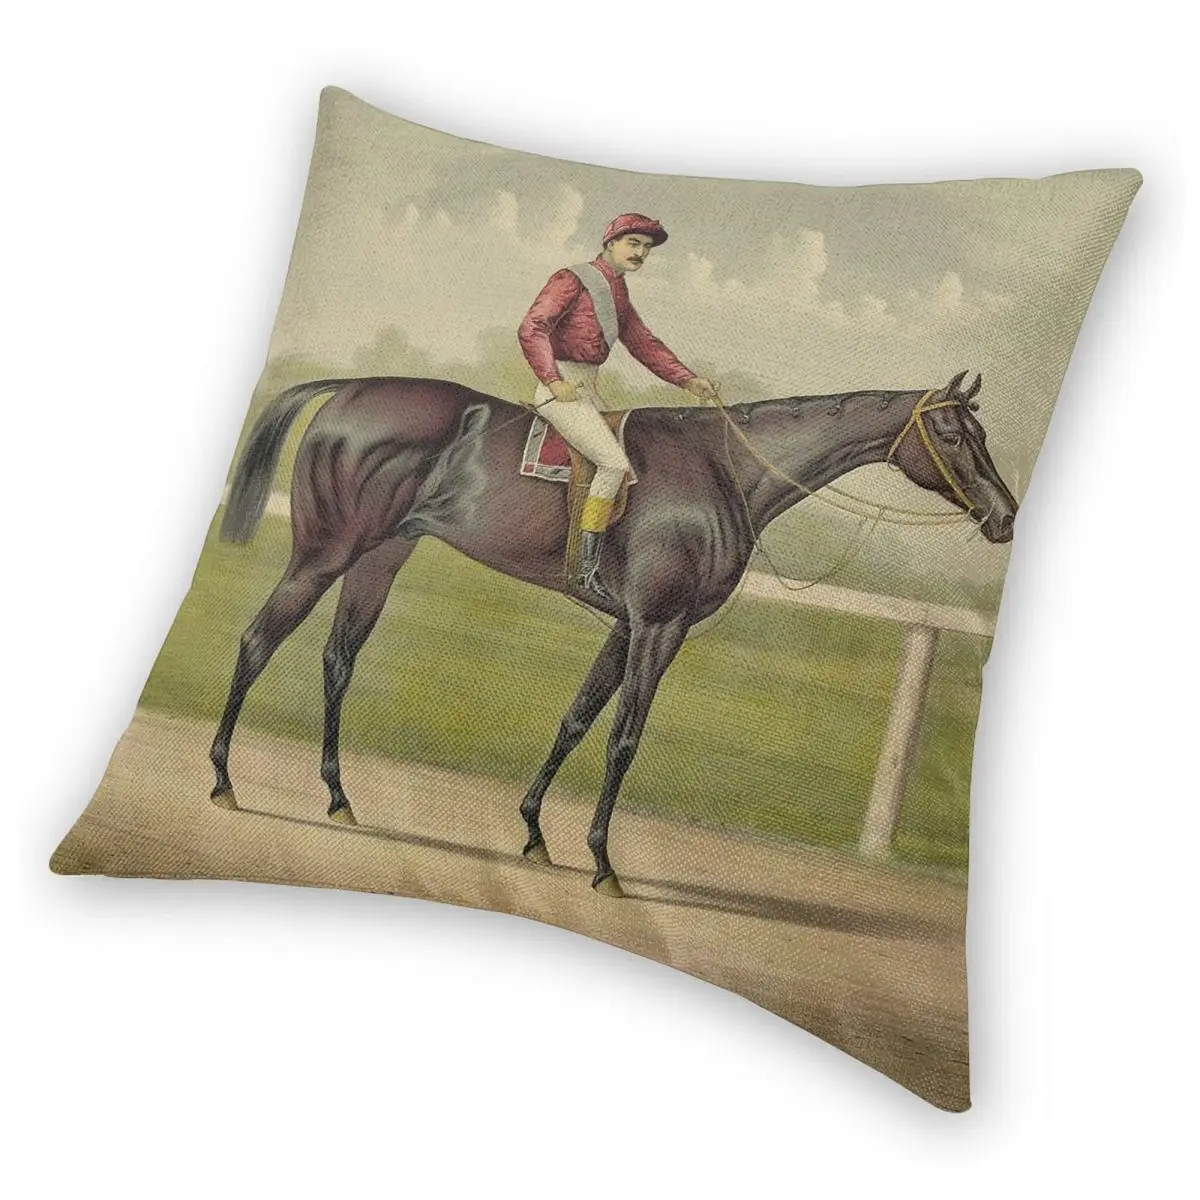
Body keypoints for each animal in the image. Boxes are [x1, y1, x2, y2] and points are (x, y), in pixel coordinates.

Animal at [210, 369, 1017, 896]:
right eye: (953, 431)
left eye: (982, 430)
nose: (1004, 515)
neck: (722, 469)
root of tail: (350, 388)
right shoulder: (661, 627)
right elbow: (624, 736)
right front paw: (601, 861)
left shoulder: (627, 627)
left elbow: (576, 719)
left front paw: (535, 832)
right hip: (327, 552)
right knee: (256, 642)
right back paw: (222, 780)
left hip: (379, 558)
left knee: (338, 660)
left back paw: (338, 795)